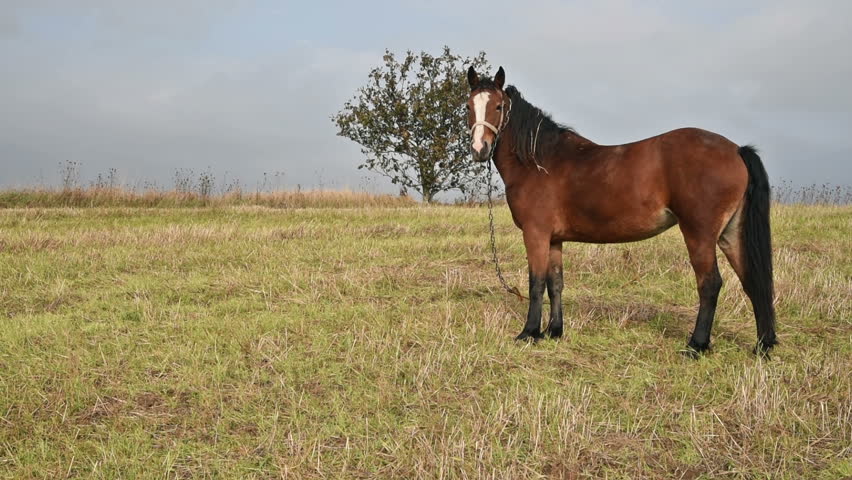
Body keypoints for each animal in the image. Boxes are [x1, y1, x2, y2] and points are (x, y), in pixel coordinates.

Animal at [466, 65, 780, 354]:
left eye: (498, 106)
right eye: (469, 106)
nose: (480, 149)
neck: (538, 161)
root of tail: (736, 150)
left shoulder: (536, 234)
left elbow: (536, 283)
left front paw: (529, 333)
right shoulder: (554, 239)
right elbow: (555, 283)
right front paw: (554, 331)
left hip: (699, 235)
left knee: (710, 284)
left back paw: (696, 345)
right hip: (731, 234)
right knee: (752, 281)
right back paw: (763, 345)